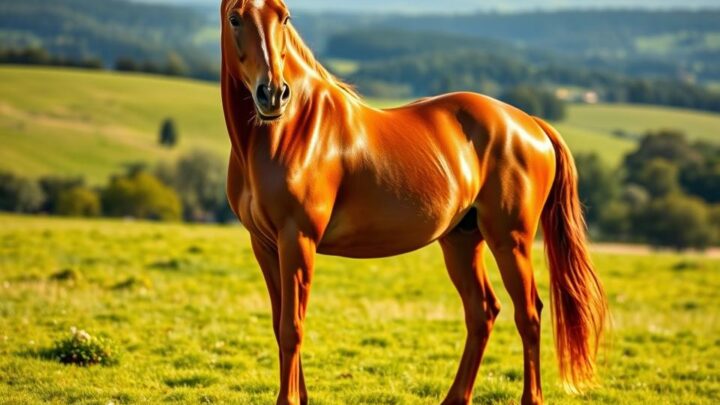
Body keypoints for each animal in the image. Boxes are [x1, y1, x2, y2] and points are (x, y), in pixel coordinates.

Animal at [219, 1, 607, 404]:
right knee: (483, 311)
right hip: (461, 239)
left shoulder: (298, 239)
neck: (289, 131)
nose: (272, 95)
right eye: (235, 18)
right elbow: (280, 325)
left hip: (510, 240)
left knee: (528, 314)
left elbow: (292, 327)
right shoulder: (265, 244)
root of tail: (530, 124)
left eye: (284, 17)